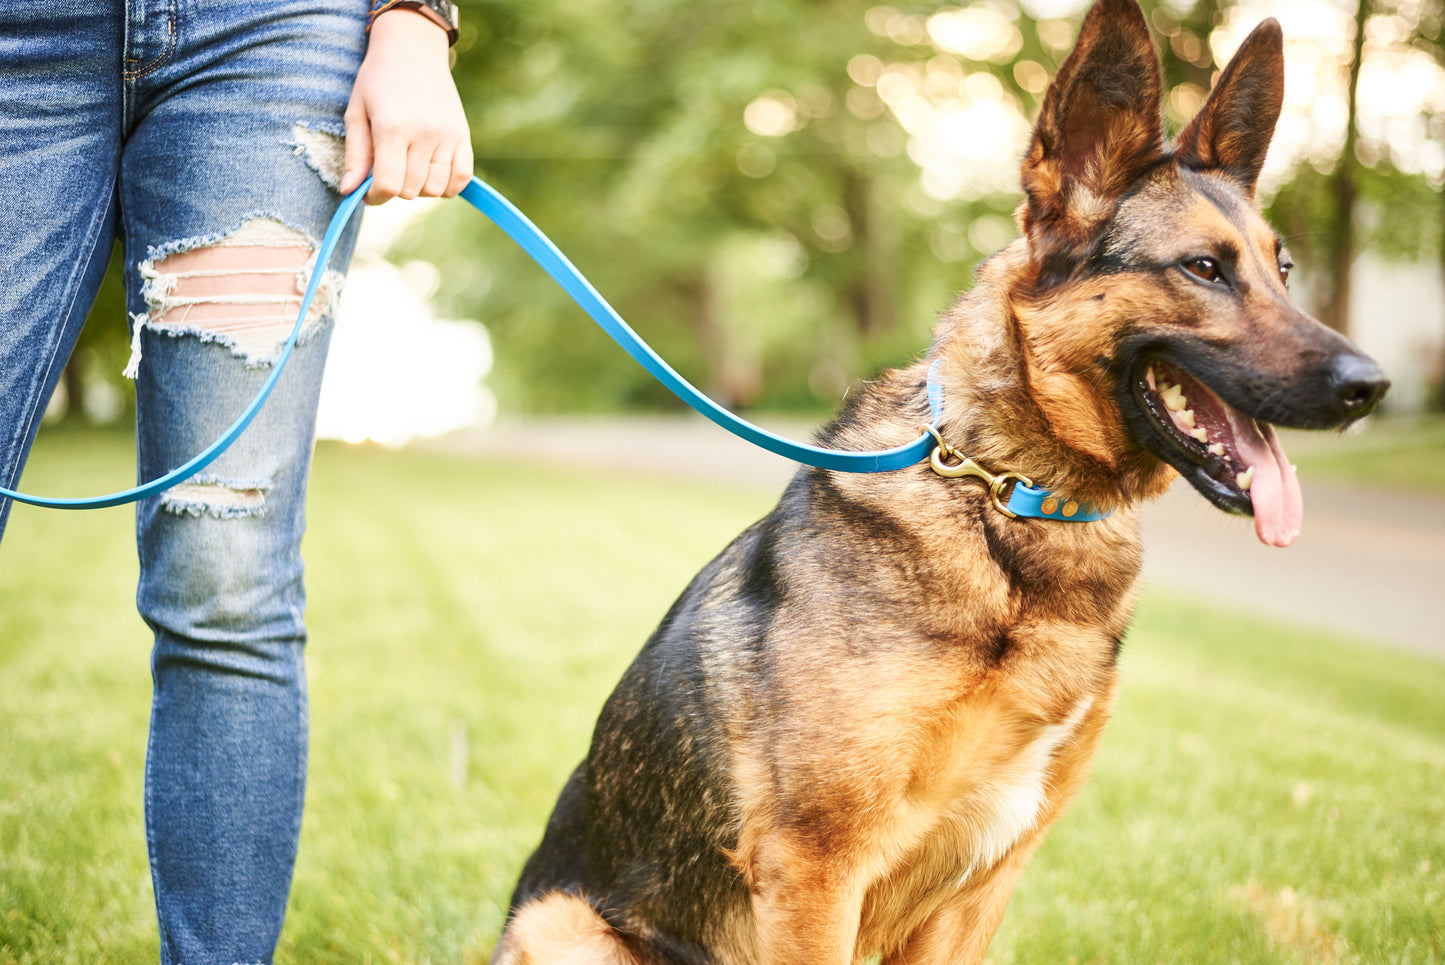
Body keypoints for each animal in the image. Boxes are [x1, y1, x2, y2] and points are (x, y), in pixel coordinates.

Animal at [494, 0, 1387, 959]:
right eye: (1202, 268)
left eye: (1282, 271)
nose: (1371, 386)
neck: (1002, 495)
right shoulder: (815, 866)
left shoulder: (984, 881)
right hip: (561, 920)